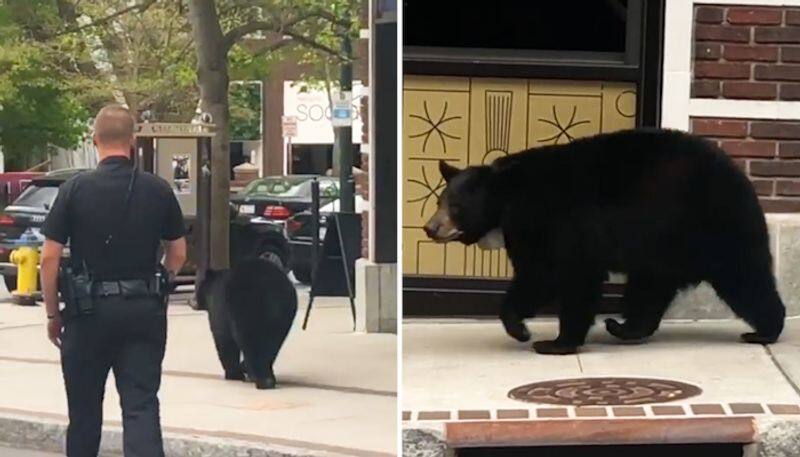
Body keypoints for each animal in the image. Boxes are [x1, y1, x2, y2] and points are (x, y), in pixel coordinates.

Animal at [198, 256, 298, 388]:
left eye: (197, 287)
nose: (191, 301)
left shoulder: (219, 310)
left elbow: (223, 340)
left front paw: (233, 374)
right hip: (284, 314)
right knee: (274, 343)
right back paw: (264, 375)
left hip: (245, 308)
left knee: (249, 341)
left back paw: (262, 379)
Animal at [424, 128, 788, 356]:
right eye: (440, 200)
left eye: (455, 206)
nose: (430, 227)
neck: (510, 199)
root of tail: (738, 172)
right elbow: (537, 275)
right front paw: (525, 328)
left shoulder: (557, 220)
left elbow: (560, 275)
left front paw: (549, 341)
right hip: (661, 246)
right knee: (650, 289)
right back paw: (622, 327)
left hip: (711, 225)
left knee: (744, 275)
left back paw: (764, 330)